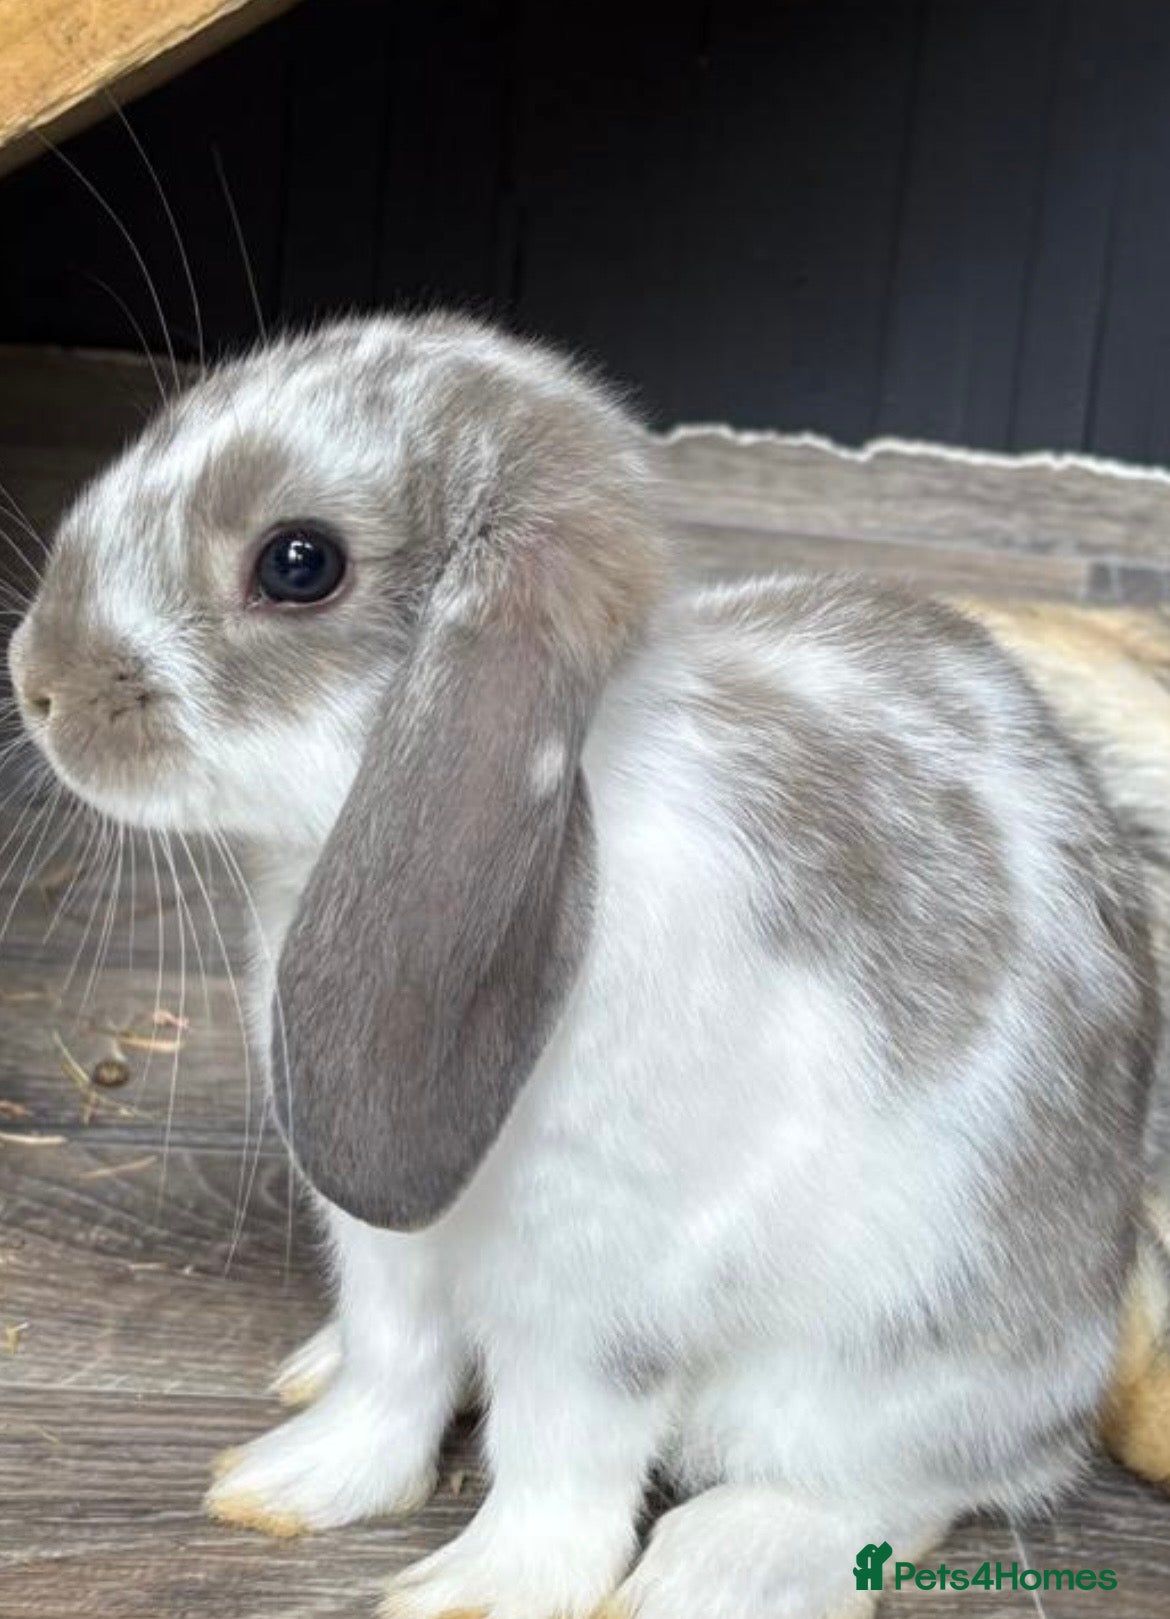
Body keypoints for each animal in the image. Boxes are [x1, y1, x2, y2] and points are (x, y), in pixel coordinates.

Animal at [7, 312, 1162, 1619]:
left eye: (298, 563)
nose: (36, 680)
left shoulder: (594, 1276)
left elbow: (562, 1442)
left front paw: (481, 1587)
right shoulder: (390, 1244)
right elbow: (394, 1366)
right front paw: (287, 1483)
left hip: (888, 1373)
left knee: (900, 1490)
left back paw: (717, 1566)